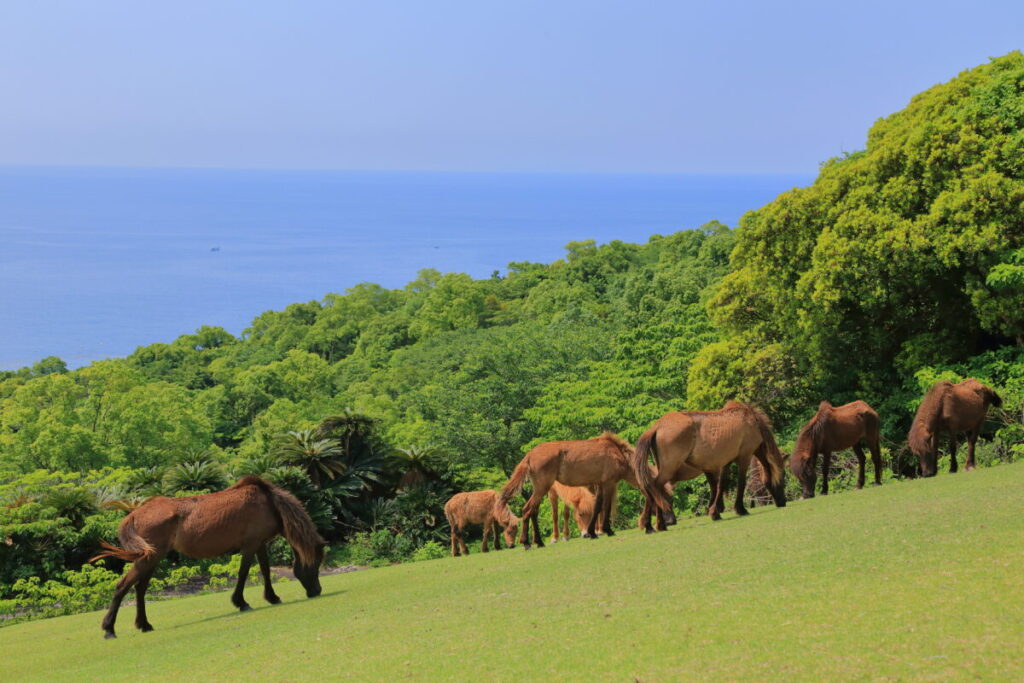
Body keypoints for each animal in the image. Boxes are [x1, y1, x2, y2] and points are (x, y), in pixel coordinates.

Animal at [90, 476, 325, 639]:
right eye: (315, 563)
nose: (317, 591)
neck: (269, 504)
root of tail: (134, 513)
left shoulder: (259, 545)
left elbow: (266, 572)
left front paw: (272, 597)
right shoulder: (250, 546)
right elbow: (244, 574)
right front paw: (241, 602)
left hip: (151, 559)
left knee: (139, 589)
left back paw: (144, 625)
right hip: (149, 558)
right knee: (123, 586)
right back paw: (109, 629)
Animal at [497, 432, 640, 549]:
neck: (616, 453)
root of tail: (530, 455)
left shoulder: (599, 485)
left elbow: (597, 507)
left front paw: (593, 532)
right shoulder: (608, 483)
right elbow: (606, 506)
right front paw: (608, 530)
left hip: (539, 490)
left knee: (533, 511)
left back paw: (539, 542)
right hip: (542, 489)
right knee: (527, 510)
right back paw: (527, 543)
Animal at [632, 401, 787, 533]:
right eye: (784, 477)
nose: (783, 502)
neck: (752, 421)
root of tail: (658, 426)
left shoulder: (726, 462)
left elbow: (720, 485)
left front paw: (715, 512)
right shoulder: (745, 457)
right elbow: (740, 484)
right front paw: (740, 509)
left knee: (652, 490)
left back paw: (650, 525)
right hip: (669, 469)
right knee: (655, 487)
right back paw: (659, 524)